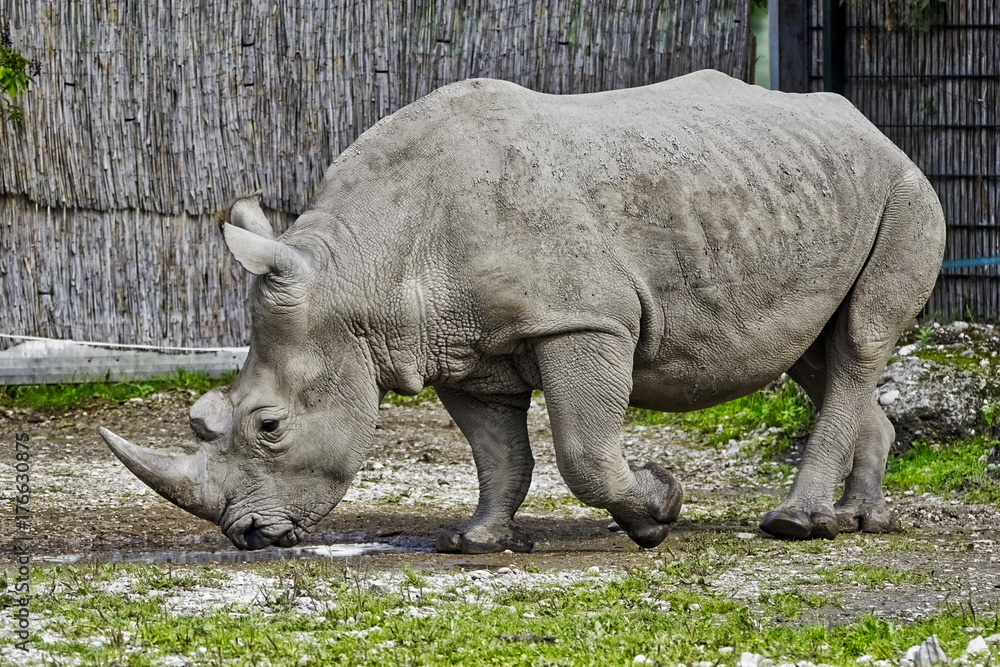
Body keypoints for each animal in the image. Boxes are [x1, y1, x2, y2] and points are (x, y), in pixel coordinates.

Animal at [101, 70, 945, 553]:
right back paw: (861, 518)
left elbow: (583, 452)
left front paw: (658, 510)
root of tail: (873, 126)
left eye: (269, 425)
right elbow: (498, 450)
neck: (359, 275)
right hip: (809, 191)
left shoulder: (585, 319)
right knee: (816, 354)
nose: (244, 534)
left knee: (858, 341)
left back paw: (796, 524)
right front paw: (475, 539)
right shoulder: (457, 345)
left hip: (906, 190)